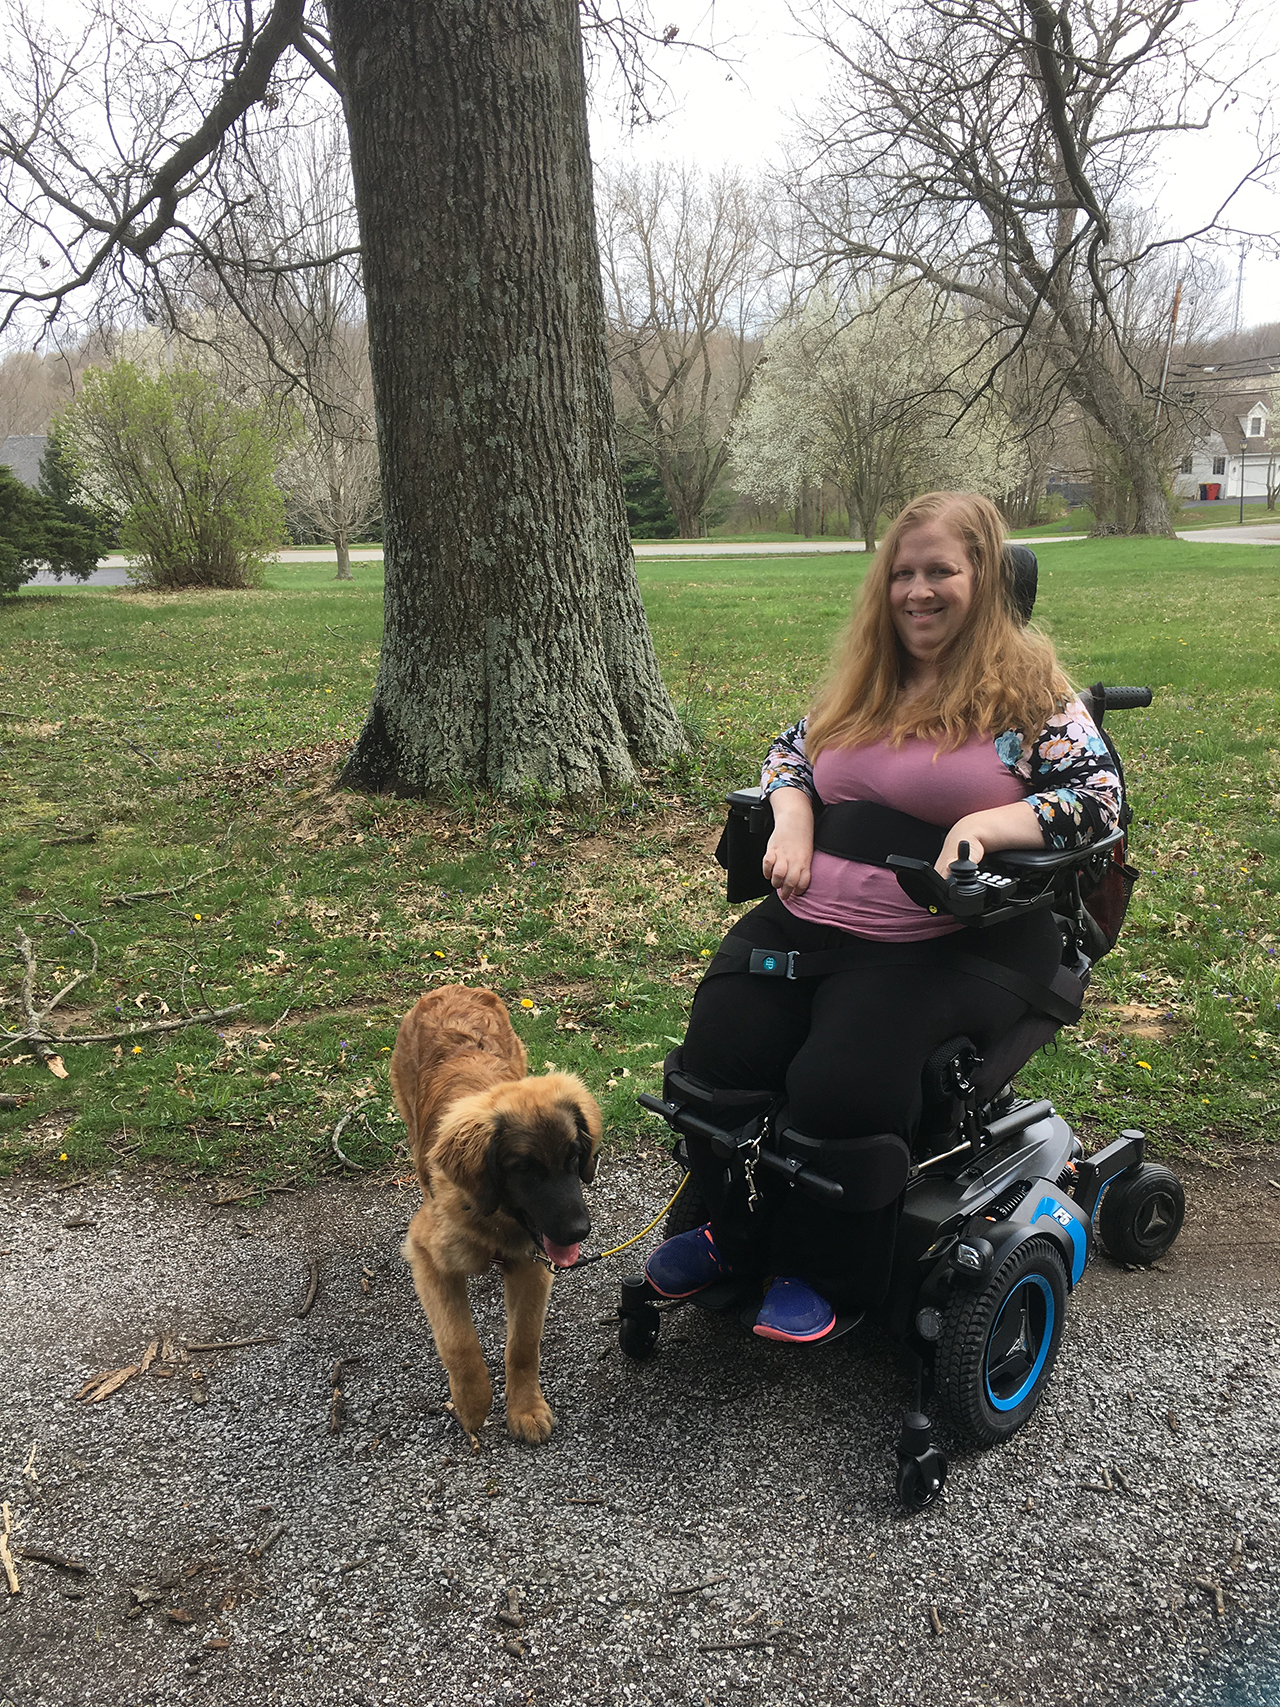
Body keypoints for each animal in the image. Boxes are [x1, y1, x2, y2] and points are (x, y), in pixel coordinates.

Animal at [394, 983, 604, 1447]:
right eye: (525, 1169)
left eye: (574, 1158)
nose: (579, 1232)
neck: (493, 1219)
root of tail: (454, 987)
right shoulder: (427, 1256)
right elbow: (459, 1342)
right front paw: (472, 1404)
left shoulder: (532, 1264)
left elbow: (523, 1345)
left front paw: (525, 1409)